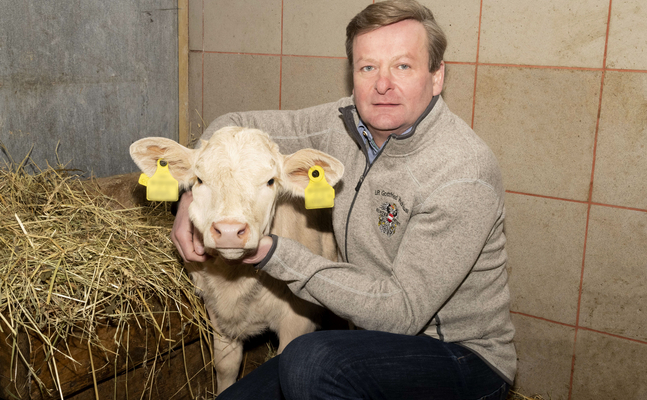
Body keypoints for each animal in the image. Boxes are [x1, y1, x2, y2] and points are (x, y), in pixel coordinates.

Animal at [129, 127, 346, 394]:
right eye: (199, 180)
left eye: (270, 181)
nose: (230, 231)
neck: (234, 282)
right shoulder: (217, 316)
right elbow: (226, 366)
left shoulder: (299, 320)